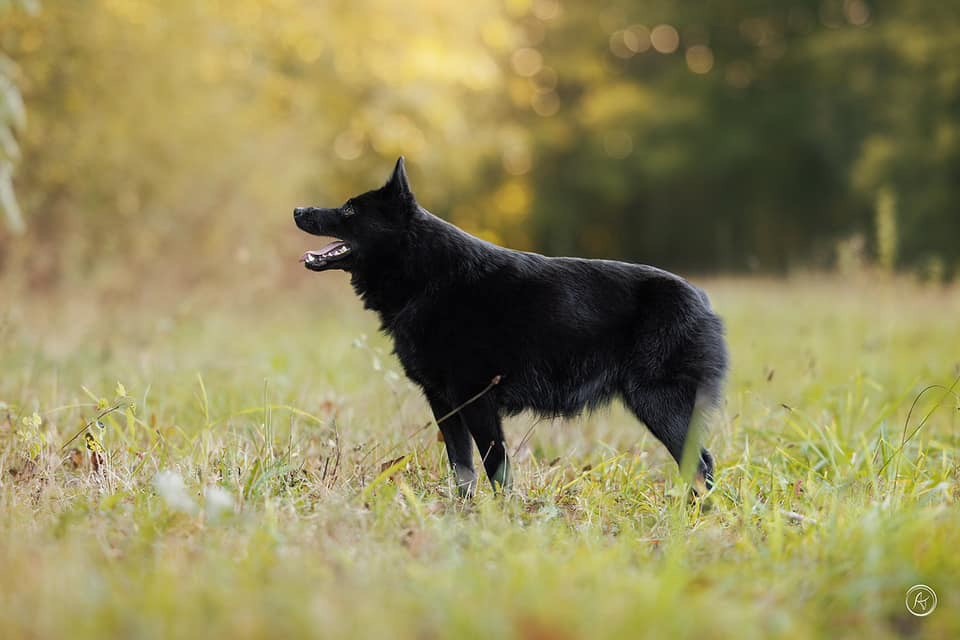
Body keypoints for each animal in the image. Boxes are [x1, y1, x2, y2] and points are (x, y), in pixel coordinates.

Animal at [292, 159, 728, 496]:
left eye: (350, 211)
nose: (297, 210)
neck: (430, 277)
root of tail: (703, 301)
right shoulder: (445, 403)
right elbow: (463, 470)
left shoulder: (478, 400)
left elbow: (496, 469)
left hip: (660, 404)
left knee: (701, 464)